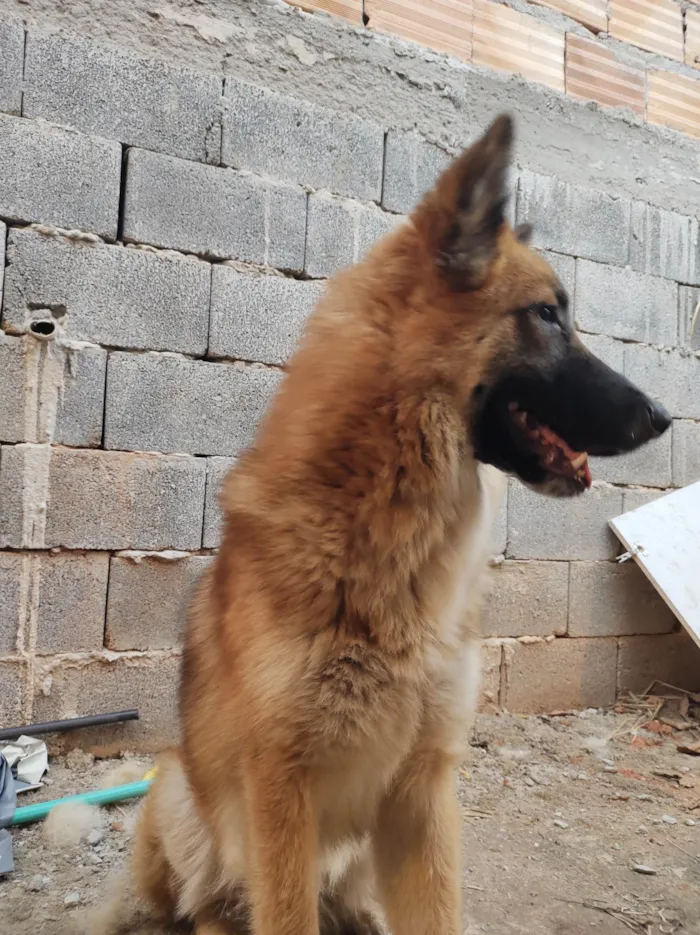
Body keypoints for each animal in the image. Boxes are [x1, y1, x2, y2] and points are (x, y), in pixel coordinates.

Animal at [91, 113, 668, 932]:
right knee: (209, 902)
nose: (663, 416)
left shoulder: (425, 790)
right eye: (547, 314)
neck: (388, 517)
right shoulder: (281, 795)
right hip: (181, 796)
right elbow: (283, 914)